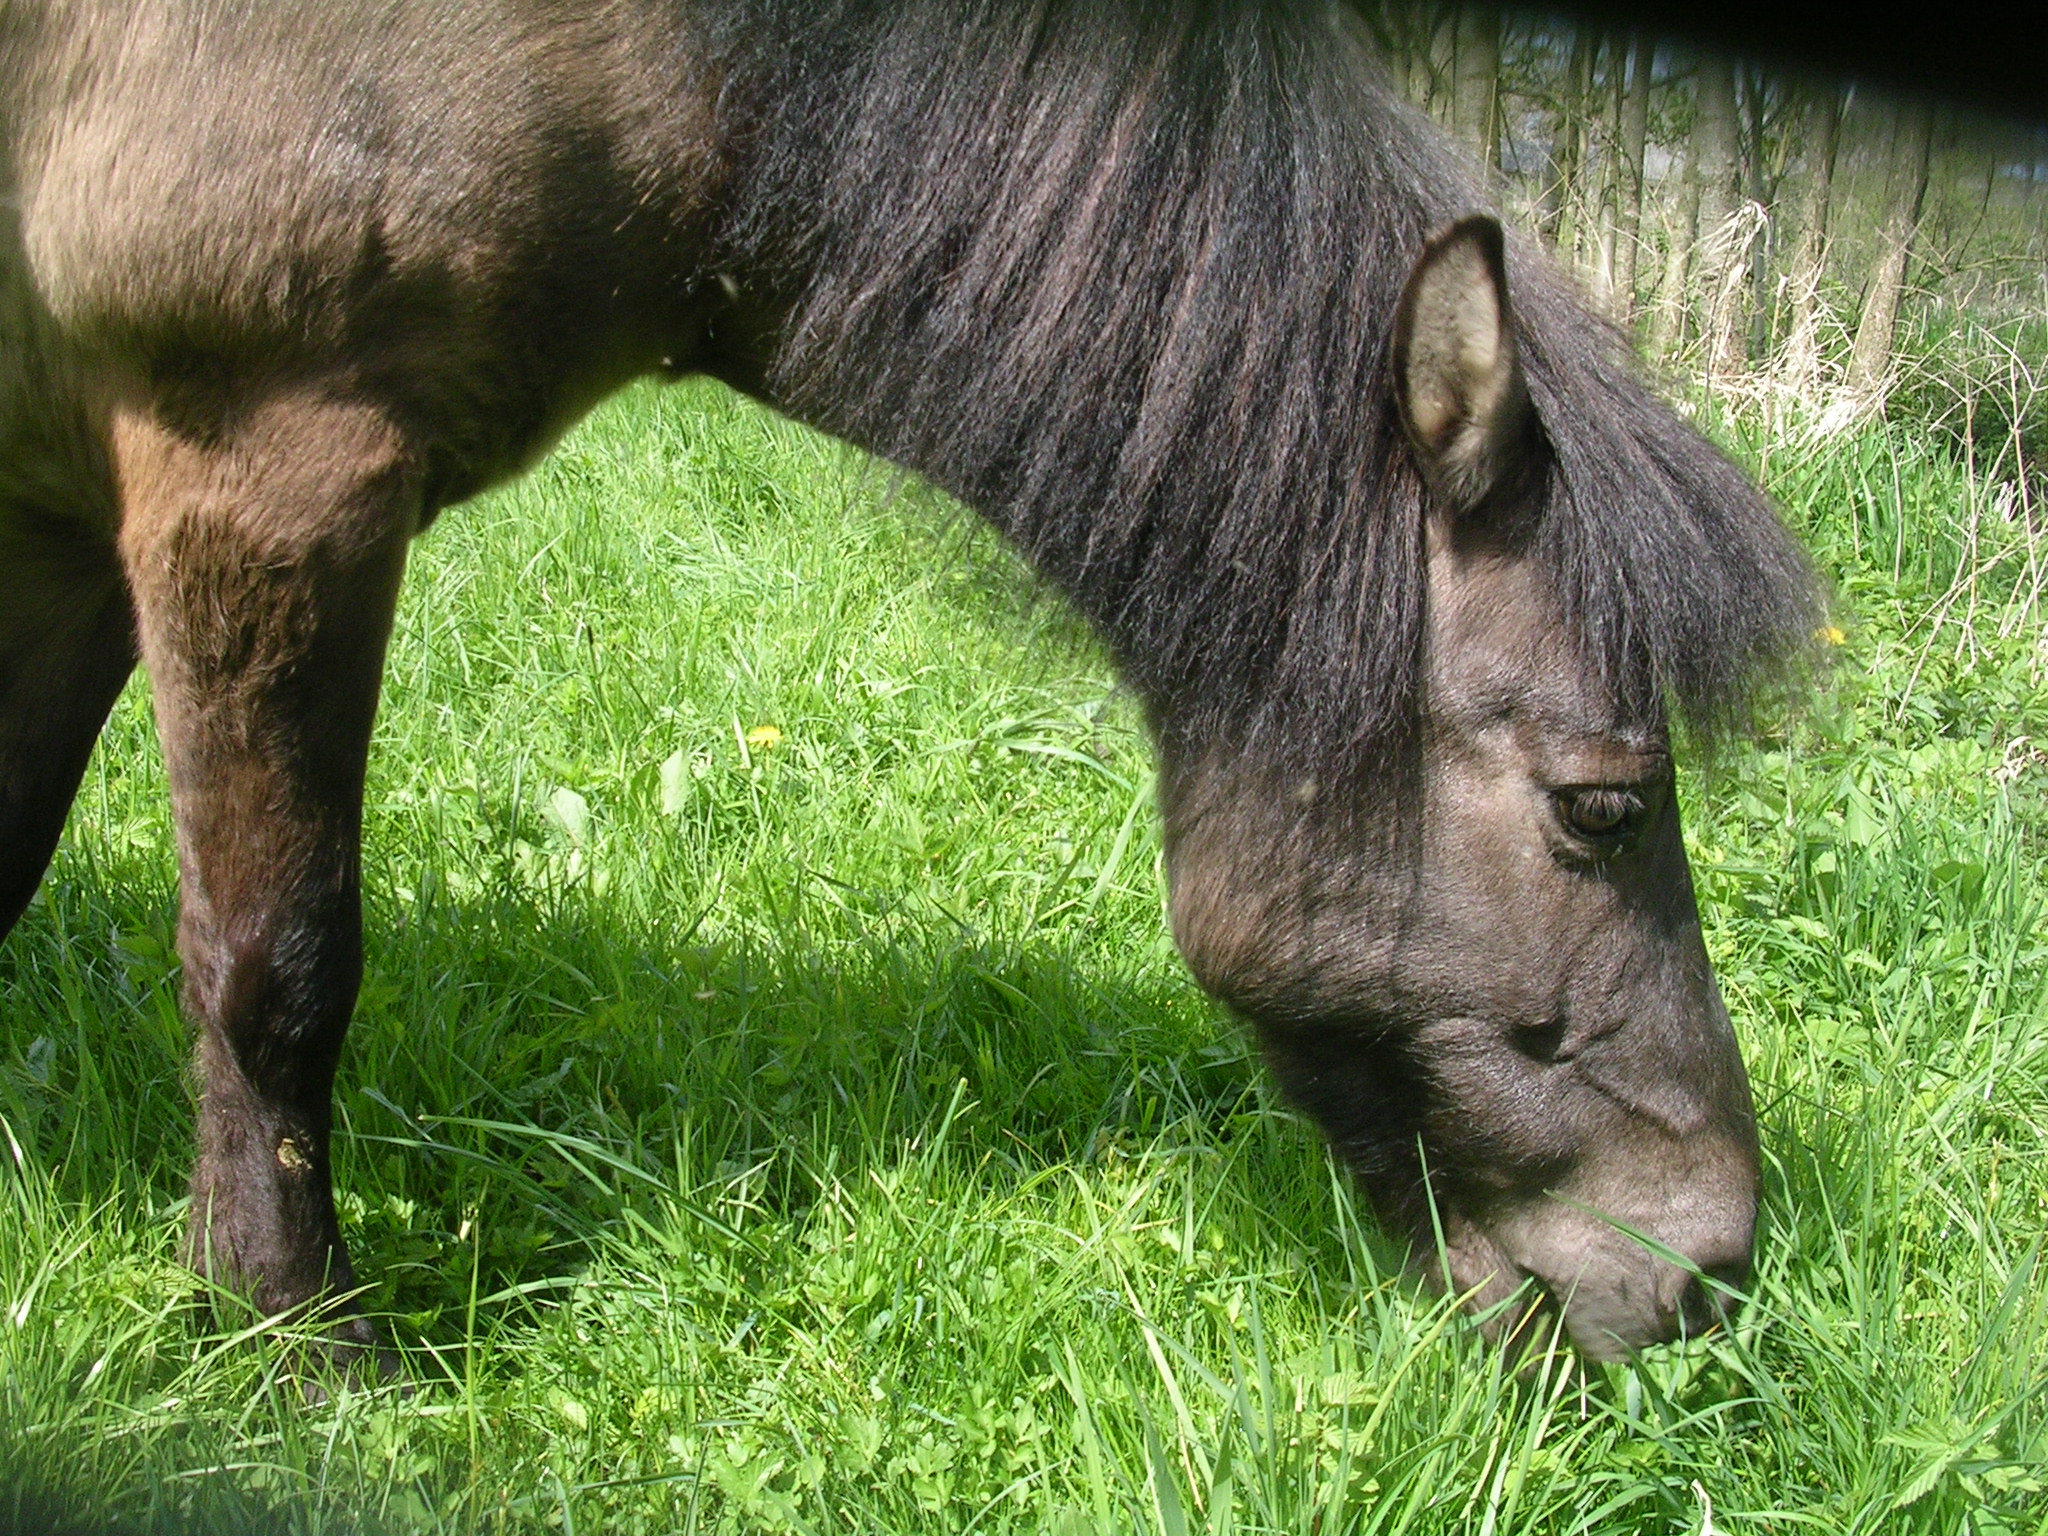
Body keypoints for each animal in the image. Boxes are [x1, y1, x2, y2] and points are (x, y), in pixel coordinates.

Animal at [4, 3, 1826, 1368]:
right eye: (1600, 805)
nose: (1709, 1270)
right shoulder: (261, 474)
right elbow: (278, 964)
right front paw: (289, 1336)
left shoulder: (68, 513)